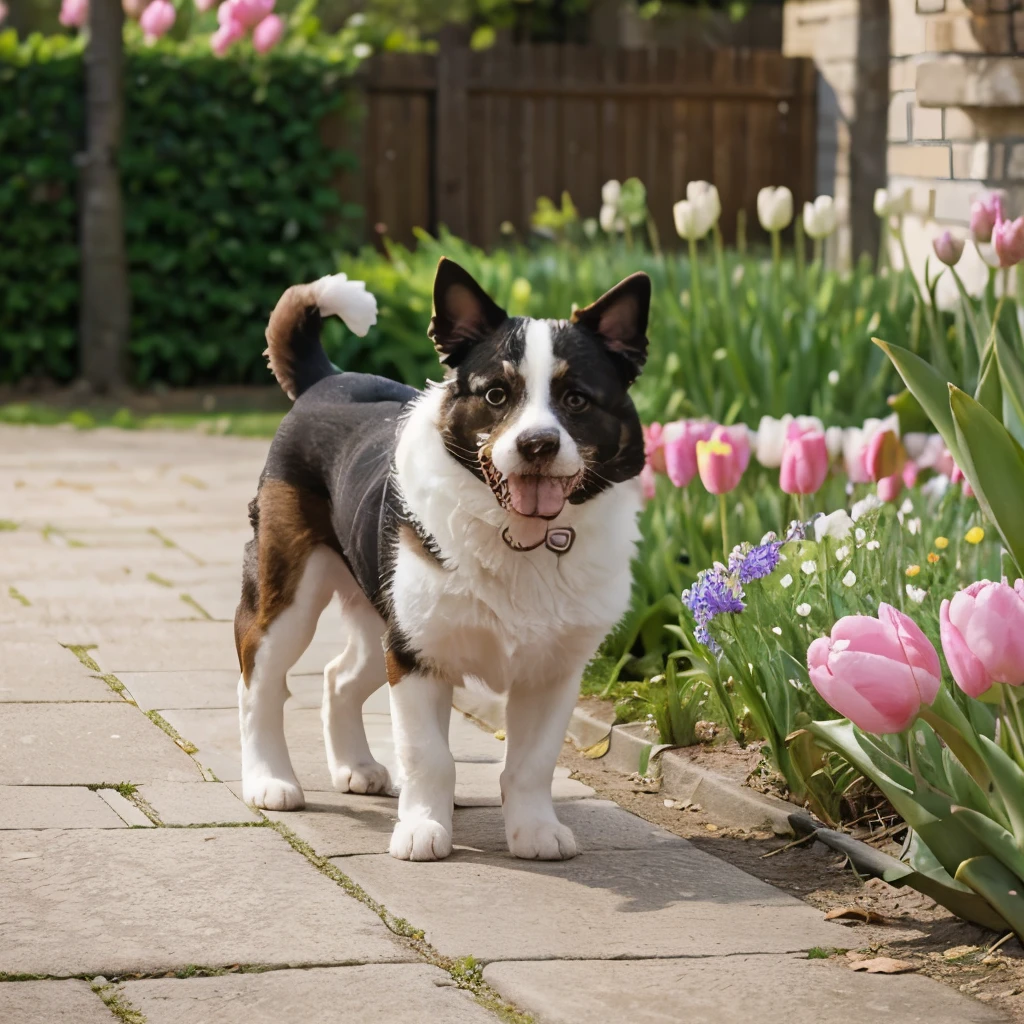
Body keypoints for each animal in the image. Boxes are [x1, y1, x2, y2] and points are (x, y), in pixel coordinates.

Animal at [234, 260, 647, 860]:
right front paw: (423, 829)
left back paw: (356, 767)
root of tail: (325, 379)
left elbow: (532, 763)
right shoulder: (416, 656)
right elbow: (428, 755)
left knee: (340, 676)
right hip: (288, 592)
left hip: (382, 613)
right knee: (261, 680)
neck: (518, 537)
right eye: (496, 394)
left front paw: (534, 832)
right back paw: (269, 780)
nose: (538, 445)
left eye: (576, 400)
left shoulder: (551, 670)